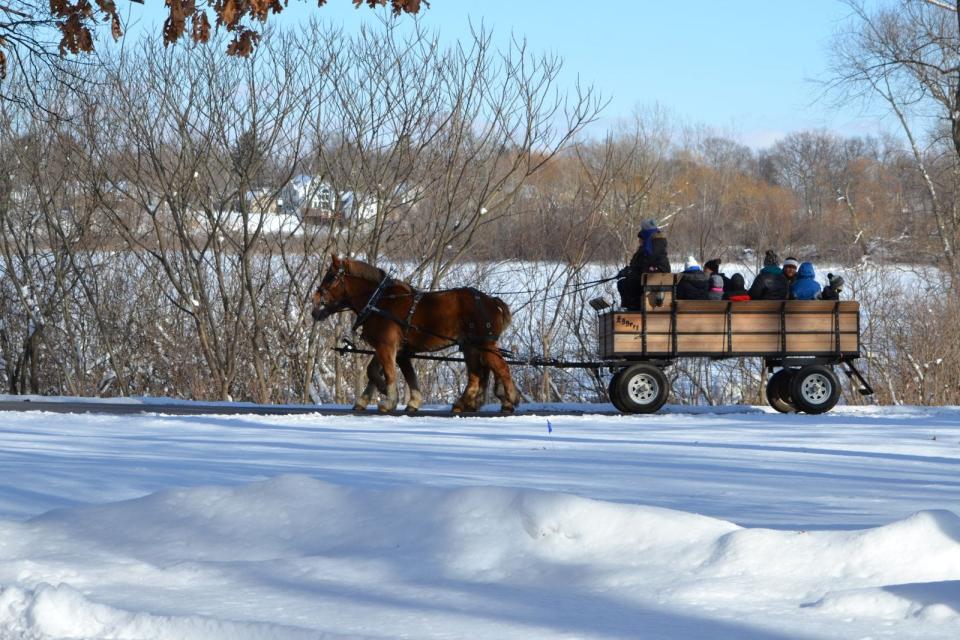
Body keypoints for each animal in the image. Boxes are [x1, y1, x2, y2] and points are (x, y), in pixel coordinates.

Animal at [312, 255, 520, 416]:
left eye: (330, 277)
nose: (315, 301)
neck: (378, 301)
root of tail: (492, 300)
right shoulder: (394, 348)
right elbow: (383, 372)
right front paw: (406, 401)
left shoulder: (387, 345)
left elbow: (388, 372)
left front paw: (389, 399)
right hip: (471, 345)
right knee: (477, 374)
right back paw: (464, 404)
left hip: (484, 343)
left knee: (501, 367)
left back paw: (511, 400)